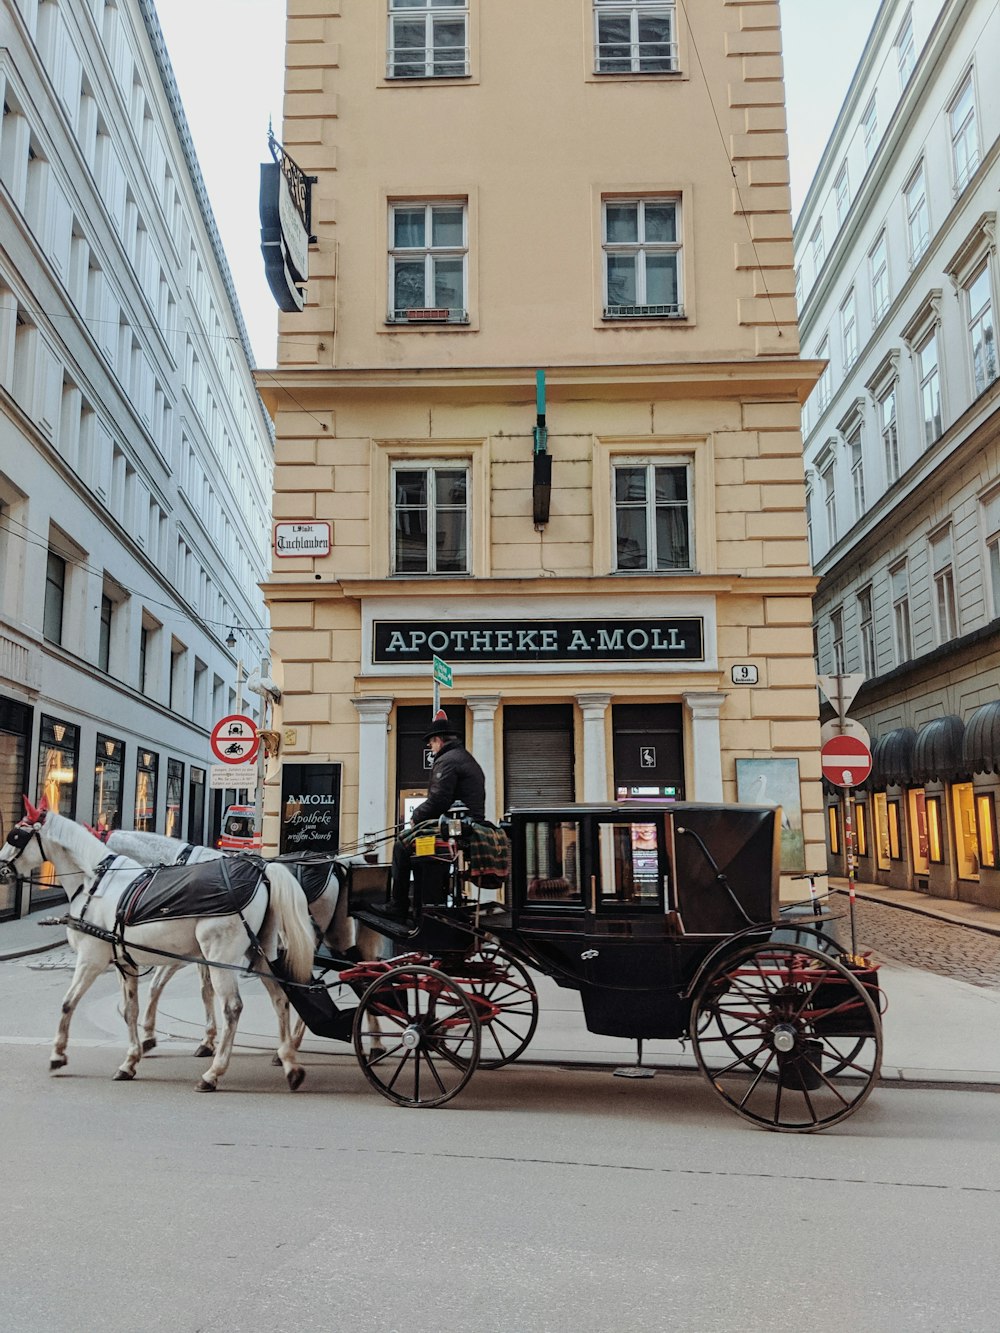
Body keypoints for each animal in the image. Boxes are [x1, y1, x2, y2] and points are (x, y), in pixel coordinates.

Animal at [1, 799, 314, 1093]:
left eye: (16, 834)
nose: (1, 867)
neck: (96, 883)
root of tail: (264, 873)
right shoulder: (126, 961)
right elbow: (131, 1008)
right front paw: (131, 1059)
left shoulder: (93, 959)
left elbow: (69, 1002)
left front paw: (58, 1054)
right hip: (261, 953)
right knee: (281, 998)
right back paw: (289, 1061)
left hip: (221, 955)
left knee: (233, 1007)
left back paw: (214, 1073)